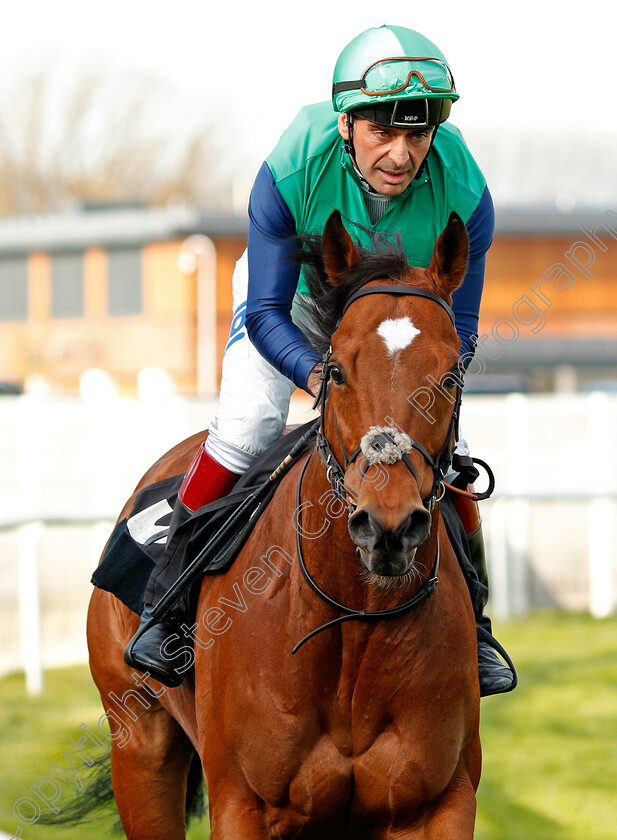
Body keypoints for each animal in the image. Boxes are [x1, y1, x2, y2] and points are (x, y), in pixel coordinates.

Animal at [86, 207, 482, 836]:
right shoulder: (241, 802)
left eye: (451, 376)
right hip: (140, 745)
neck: (354, 621)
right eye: (336, 370)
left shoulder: (441, 800)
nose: (388, 525)